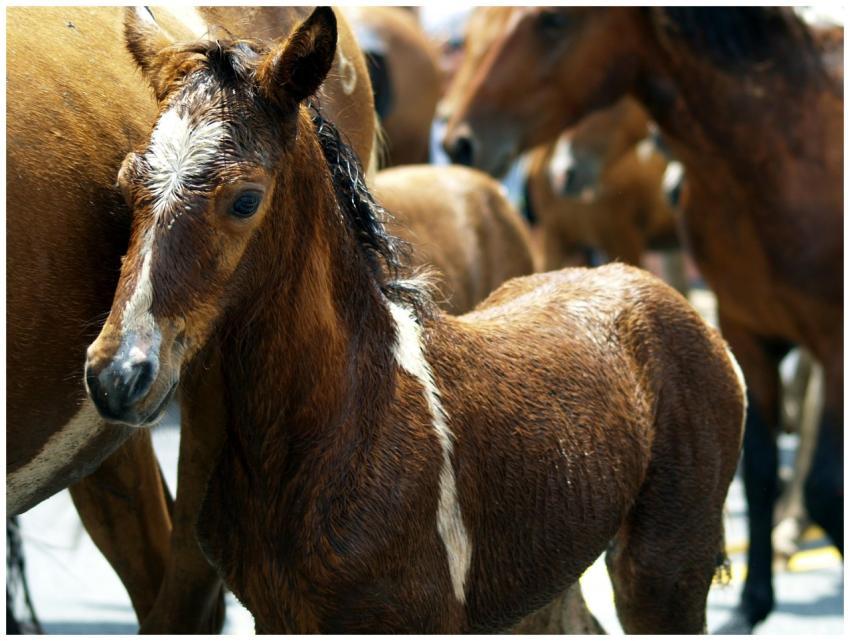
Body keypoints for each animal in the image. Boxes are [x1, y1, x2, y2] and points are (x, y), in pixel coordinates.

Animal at [443, 7, 843, 631]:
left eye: (553, 21)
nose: (461, 141)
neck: (781, 157)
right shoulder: (747, 329)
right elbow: (757, 472)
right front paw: (752, 602)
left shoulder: (833, 338)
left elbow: (827, 484)